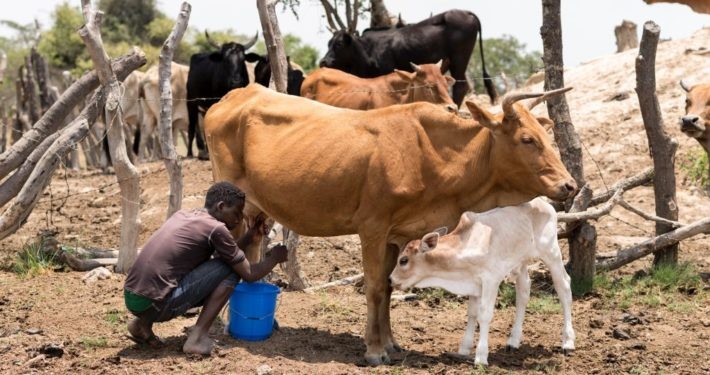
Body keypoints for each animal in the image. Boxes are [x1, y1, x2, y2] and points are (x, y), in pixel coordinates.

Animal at [186, 32, 258, 160]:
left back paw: (204, 152)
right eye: (225, 60)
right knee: (192, 127)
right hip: (191, 102)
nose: (236, 81)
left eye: (242, 60)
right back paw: (191, 153)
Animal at [320, 9, 498, 106]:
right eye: (328, 43)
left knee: (461, 86)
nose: (324, 61)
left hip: (459, 60)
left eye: (339, 44)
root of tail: (464, 12)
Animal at [392, 198, 576, 366]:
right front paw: (464, 349)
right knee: (523, 292)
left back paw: (568, 342)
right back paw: (513, 341)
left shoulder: (490, 280)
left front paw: (481, 357)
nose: (391, 279)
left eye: (403, 260)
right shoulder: (474, 285)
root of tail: (545, 203)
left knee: (564, 287)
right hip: (521, 261)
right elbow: (472, 314)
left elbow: (484, 315)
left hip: (551, 252)